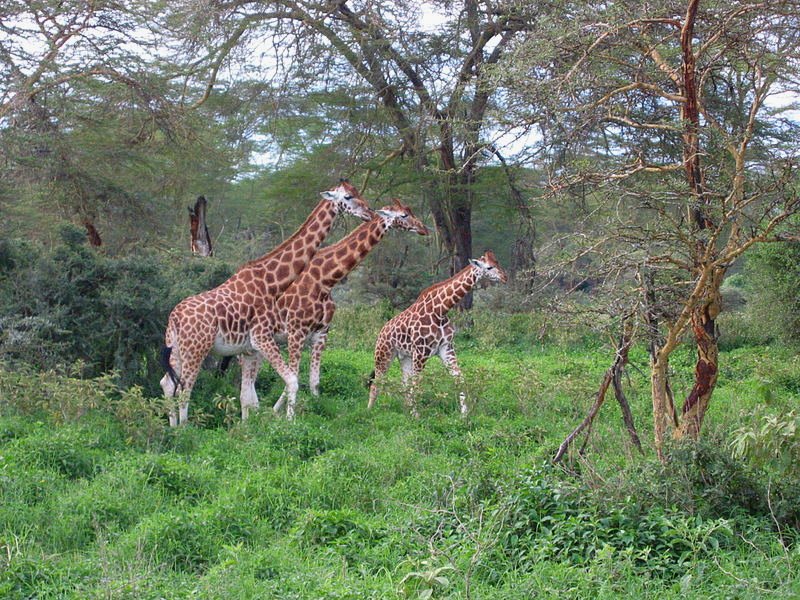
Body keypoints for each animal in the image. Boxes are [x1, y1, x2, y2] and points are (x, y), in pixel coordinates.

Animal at [163, 180, 378, 424]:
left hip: (176, 349)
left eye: (358, 192)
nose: (369, 212)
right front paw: (289, 423)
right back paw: (184, 428)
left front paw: (249, 427)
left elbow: (248, 395)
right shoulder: (265, 337)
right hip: (196, 349)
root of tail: (175, 317)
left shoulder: (252, 347)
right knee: (184, 389)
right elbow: (292, 381)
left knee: (168, 383)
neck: (270, 282)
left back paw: (172, 426)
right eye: (348, 197)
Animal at [368, 248, 506, 418]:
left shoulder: (446, 348)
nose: (505, 277)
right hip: (384, 354)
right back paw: (369, 412)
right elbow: (417, 384)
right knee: (377, 383)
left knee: (404, 383)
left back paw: (405, 412)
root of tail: (382, 331)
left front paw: (464, 415)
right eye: (489, 267)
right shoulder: (421, 352)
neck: (441, 310)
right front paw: (417, 417)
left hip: (405, 356)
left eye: (497, 262)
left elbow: (459, 379)